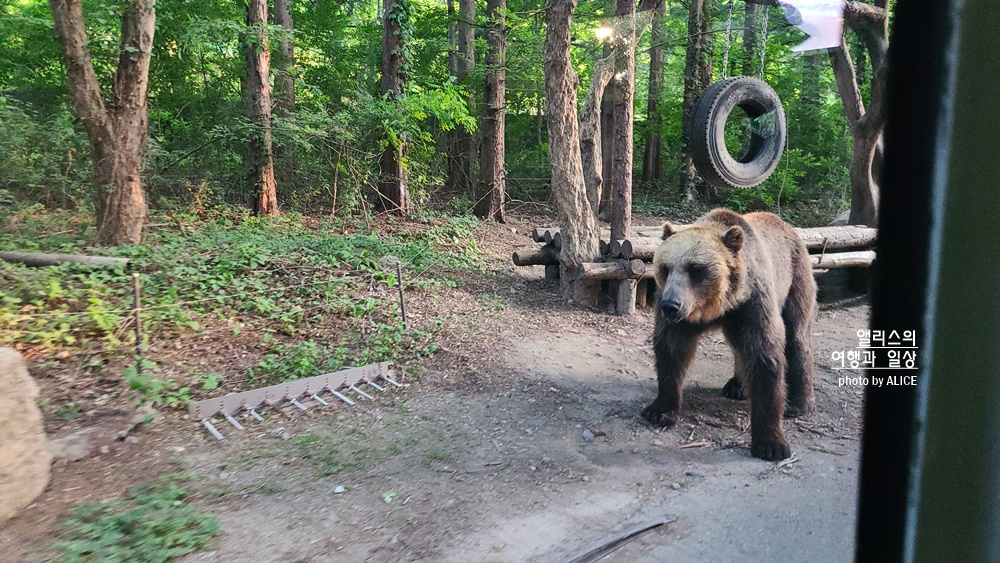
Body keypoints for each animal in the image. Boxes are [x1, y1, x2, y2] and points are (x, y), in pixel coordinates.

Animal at [644, 209, 816, 460]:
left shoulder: (753, 302)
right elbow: (671, 350)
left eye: (695, 268)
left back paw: (799, 404)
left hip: (796, 277)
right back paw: (737, 386)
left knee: (797, 337)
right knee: (738, 346)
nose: (670, 305)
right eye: (665, 267)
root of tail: (784, 223)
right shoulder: (681, 319)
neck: (717, 305)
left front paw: (771, 443)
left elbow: (765, 355)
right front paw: (659, 411)